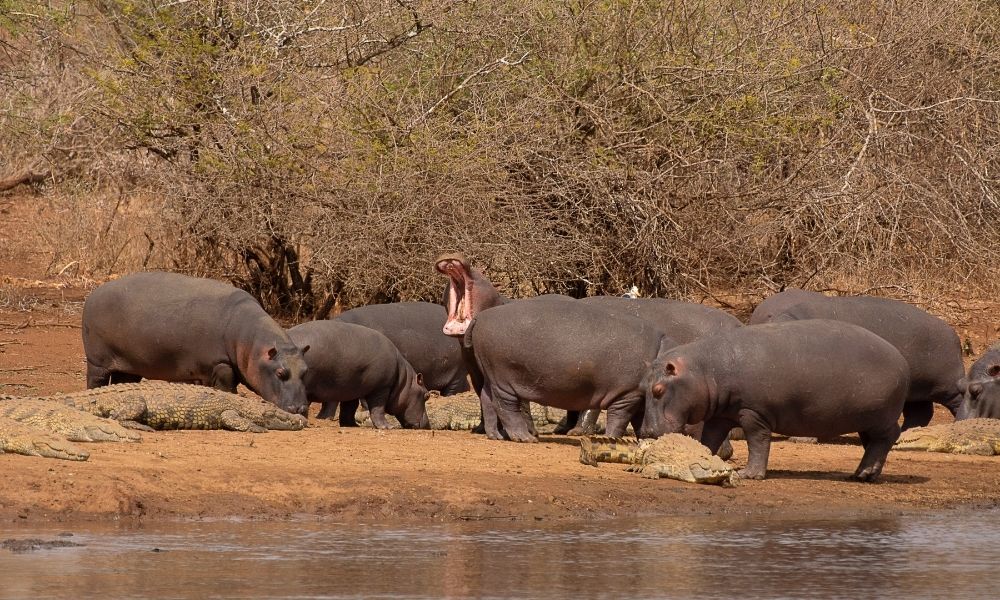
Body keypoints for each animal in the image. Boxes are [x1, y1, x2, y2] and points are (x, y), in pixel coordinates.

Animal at [82, 272, 310, 415]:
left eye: (305, 371)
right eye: (280, 373)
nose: (300, 409)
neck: (251, 345)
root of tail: (93, 294)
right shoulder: (219, 364)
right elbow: (227, 386)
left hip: (130, 365)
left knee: (123, 381)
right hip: (97, 362)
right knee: (95, 381)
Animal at [287, 320, 430, 429]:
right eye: (426, 396)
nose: (428, 424)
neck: (403, 380)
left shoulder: (351, 390)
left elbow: (349, 408)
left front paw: (351, 425)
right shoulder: (382, 388)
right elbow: (378, 409)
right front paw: (388, 427)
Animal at [641, 319, 909, 481]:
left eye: (658, 389)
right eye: (643, 386)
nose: (645, 432)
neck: (704, 370)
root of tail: (901, 359)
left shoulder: (753, 412)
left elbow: (758, 442)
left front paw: (749, 475)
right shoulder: (722, 415)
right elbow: (710, 439)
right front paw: (704, 456)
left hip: (882, 418)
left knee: (887, 438)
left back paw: (864, 475)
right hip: (867, 419)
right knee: (873, 444)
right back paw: (864, 474)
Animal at [750, 289, 964, 430]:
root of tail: (953, 334)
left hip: (947, 384)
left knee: (957, 400)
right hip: (917, 389)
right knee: (920, 413)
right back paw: (905, 434)